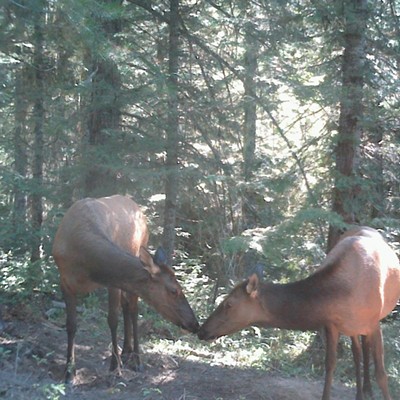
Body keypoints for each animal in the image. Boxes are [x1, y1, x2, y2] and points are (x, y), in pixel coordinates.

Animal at [51, 195, 198, 382]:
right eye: (174, 290)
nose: (195, 323)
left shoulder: (112, 283)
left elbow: (113, 320)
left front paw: (115, 365)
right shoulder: (65, 281)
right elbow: (71, 325)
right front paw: (69, 370)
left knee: (133, 309)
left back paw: (136, 359)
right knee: (126, 306)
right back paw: (126, 351)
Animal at [199, 228, 400, 400]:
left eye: (228, 304)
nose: (202, 330)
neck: (340, 295)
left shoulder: (374, 323)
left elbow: (381, 374)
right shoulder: (332, 324)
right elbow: (330, 365)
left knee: (365, 351)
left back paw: (367, 390)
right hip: (352, 328)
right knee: (357, 353)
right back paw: (362, 392)